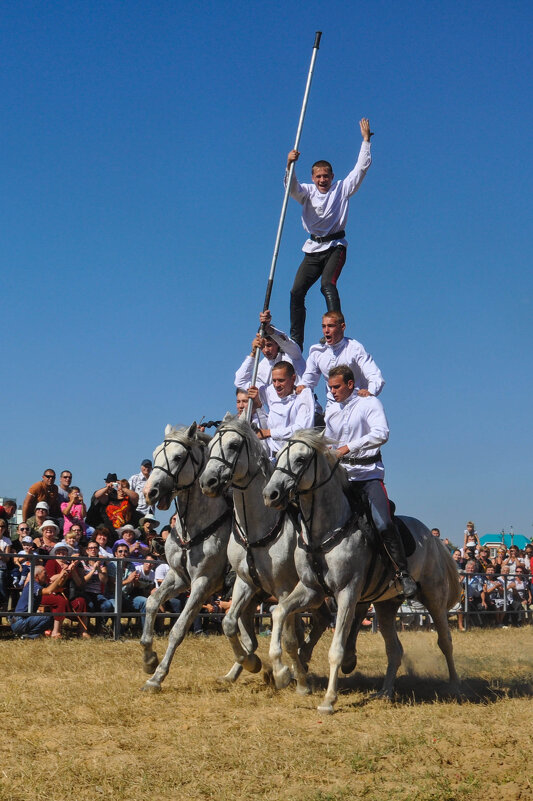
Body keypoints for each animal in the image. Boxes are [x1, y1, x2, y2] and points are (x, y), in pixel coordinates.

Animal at [140, 422, 232, 692]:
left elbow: (179, 628)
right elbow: (152, 603)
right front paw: (149, 659)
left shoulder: (203, 583)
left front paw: (157, 677)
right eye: (156, 453)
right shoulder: (179, 578)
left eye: (178, 457)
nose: (149, 492)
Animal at [198, 416, 328, 692]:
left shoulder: (285, 588)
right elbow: (228, 623)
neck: (257, 528)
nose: (208, 482)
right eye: (211, 445)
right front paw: (251, 663)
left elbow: (288, 637)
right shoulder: (245, 583)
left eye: (234, 445)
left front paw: (285, 674)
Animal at [264, 428, 460, 716]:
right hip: (387, 606)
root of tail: (434, 539)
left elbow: (337, 649)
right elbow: (278, 612)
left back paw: (456, 686)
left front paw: (329, 700)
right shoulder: (311, 590)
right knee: (395, 650)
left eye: (300, 460)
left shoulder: (347, 592)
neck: (325, 530)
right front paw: (280, 673)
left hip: (434, 598)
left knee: (445, 640)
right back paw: (385, 692)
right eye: (277, 457)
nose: (271, 494)